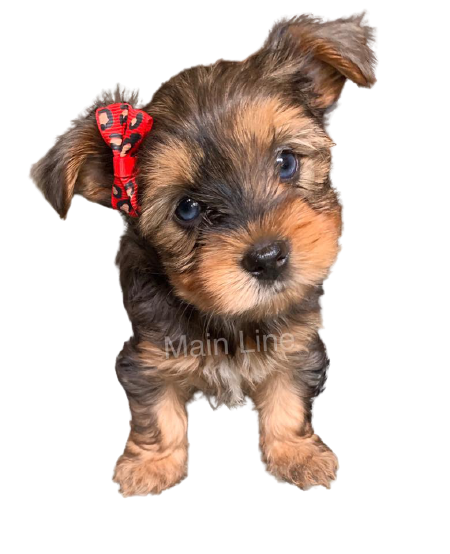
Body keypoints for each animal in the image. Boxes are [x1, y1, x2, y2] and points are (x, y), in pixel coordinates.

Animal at [31, 9, 374, 492]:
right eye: (187, 209)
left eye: (286, 161)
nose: (267, 258)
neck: (232, 317)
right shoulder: (150, 351)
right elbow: (158, 406)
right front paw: (153, 464)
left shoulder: (295, 338)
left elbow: (287, 391)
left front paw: (296, 452)